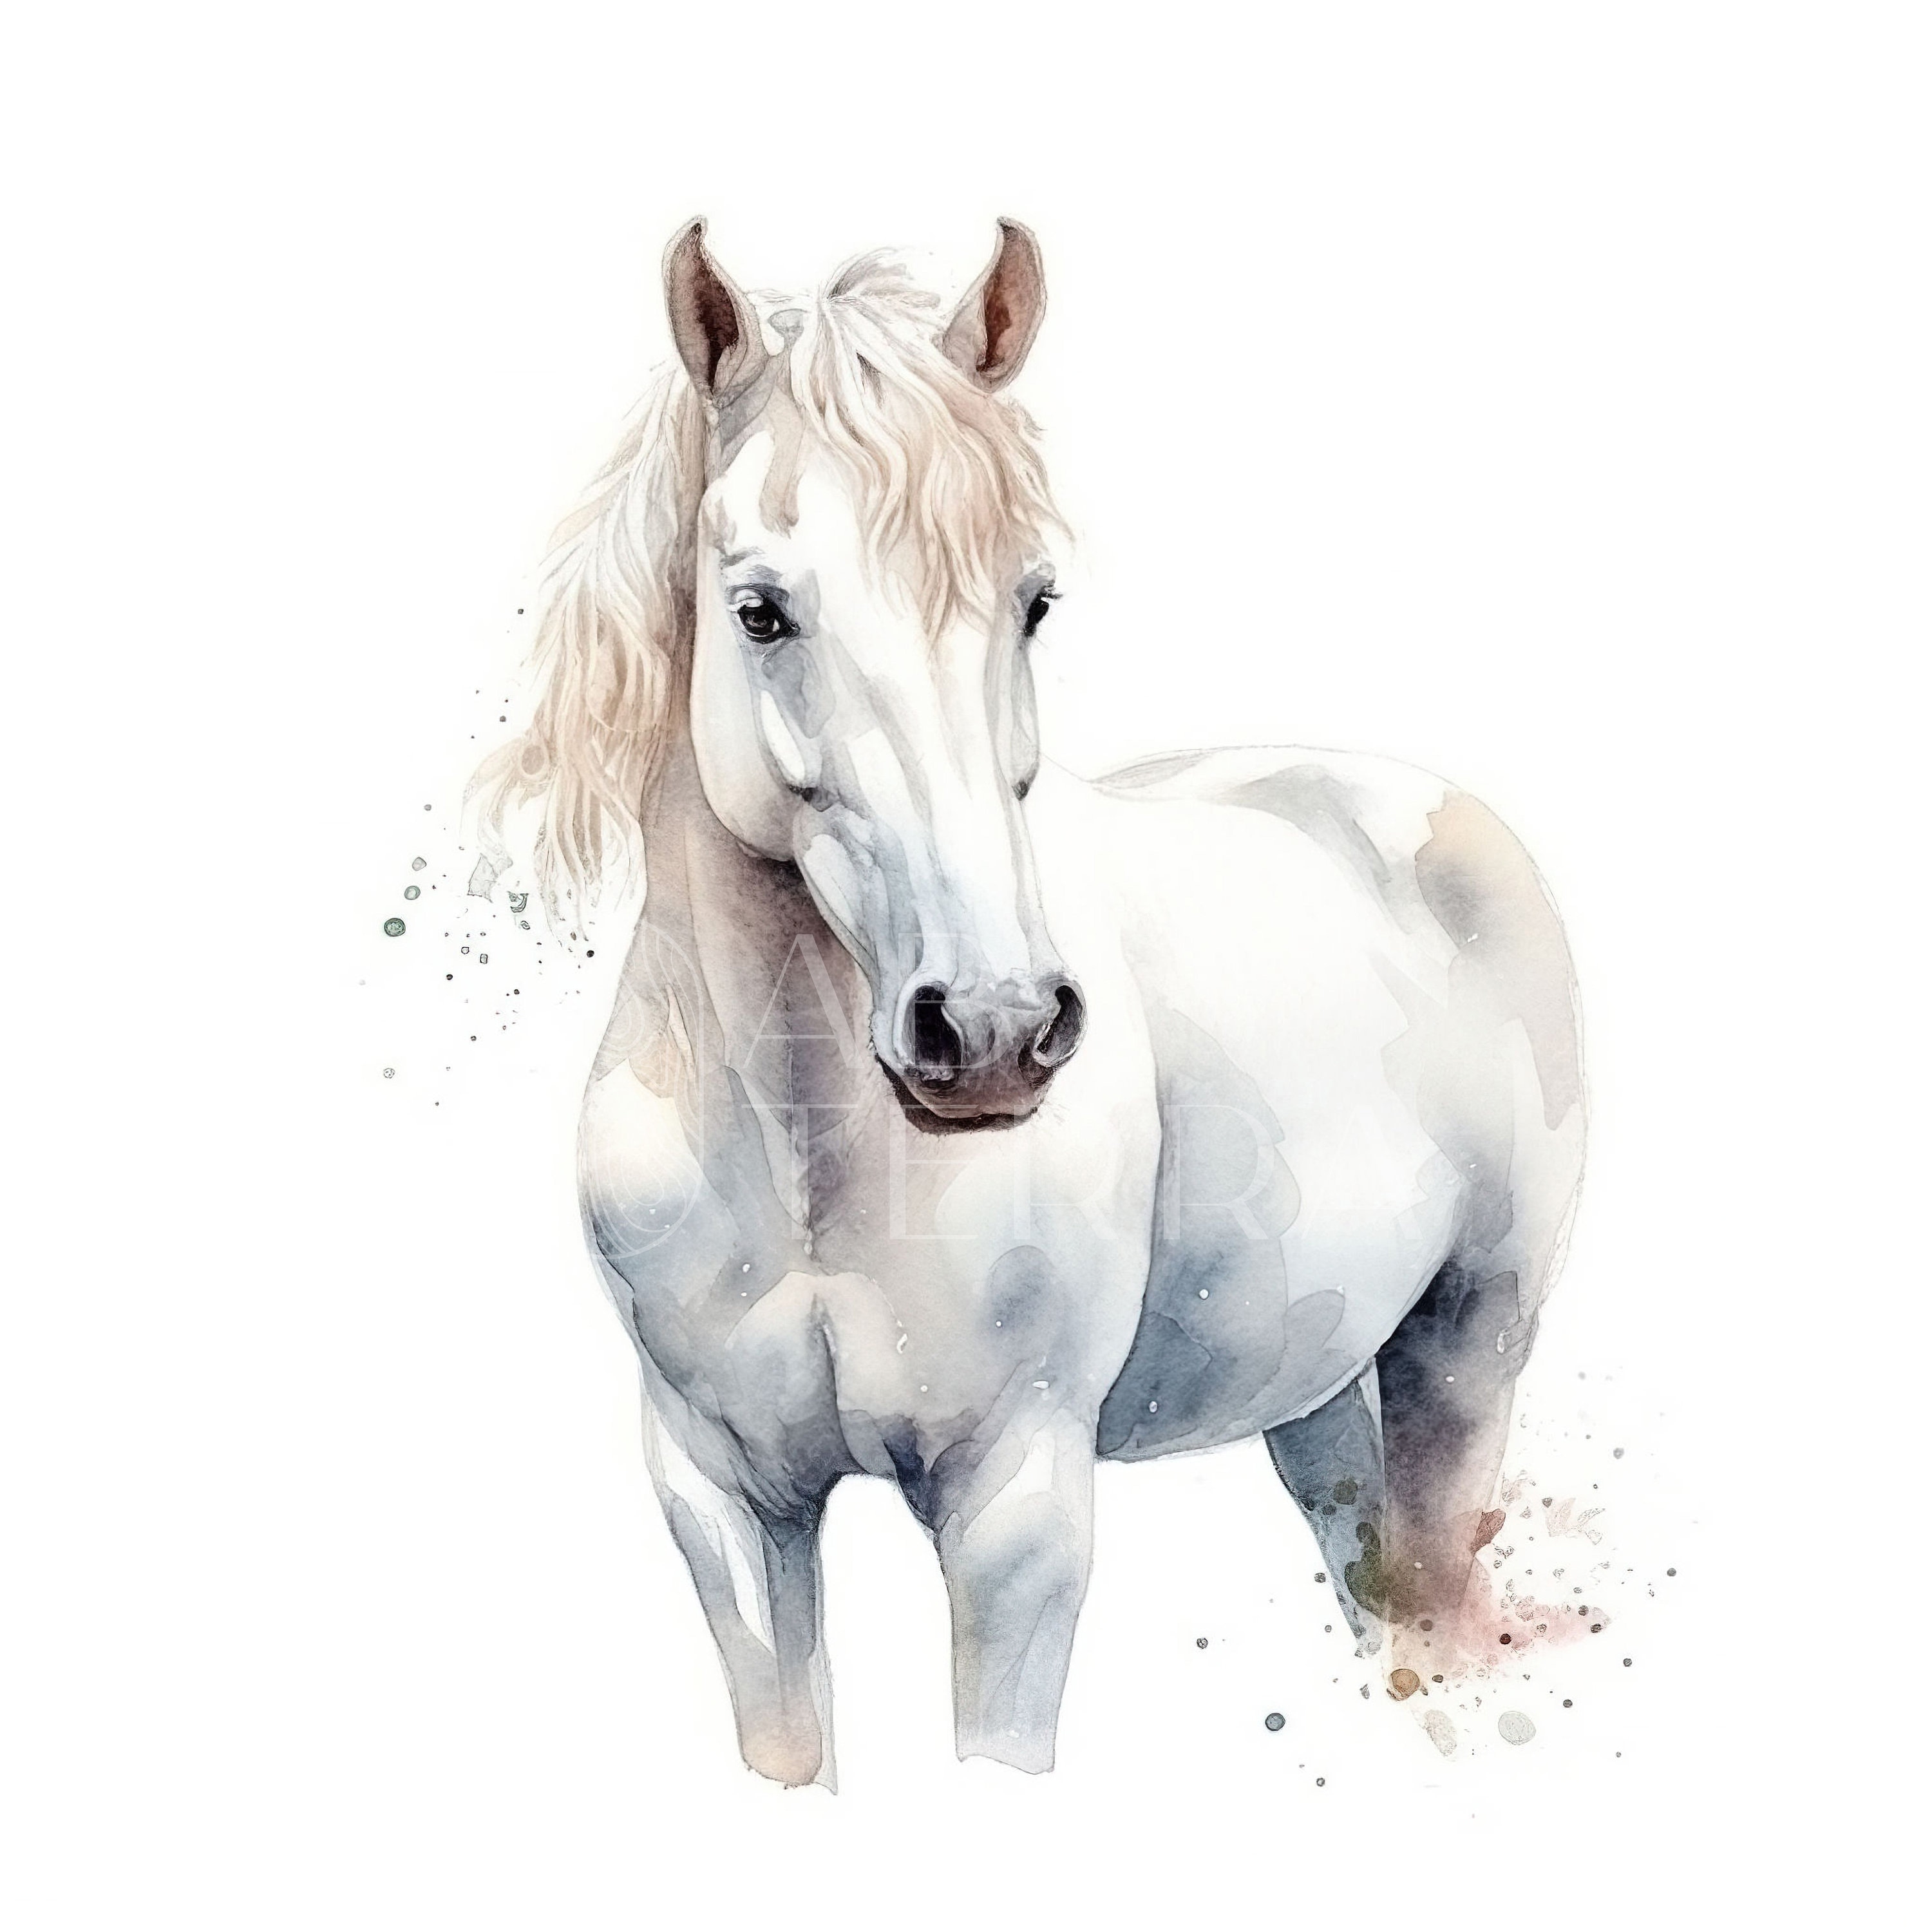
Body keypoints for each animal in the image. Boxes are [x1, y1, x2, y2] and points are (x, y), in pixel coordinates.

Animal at [474, 219, 1586, 1788]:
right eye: (759, 611)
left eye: (1033, 601)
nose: (993, 1032)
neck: (811, 1159)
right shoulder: (721, 1503)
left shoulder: (1018, 1515)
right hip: (1317, 1402)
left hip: (1468, 1352)